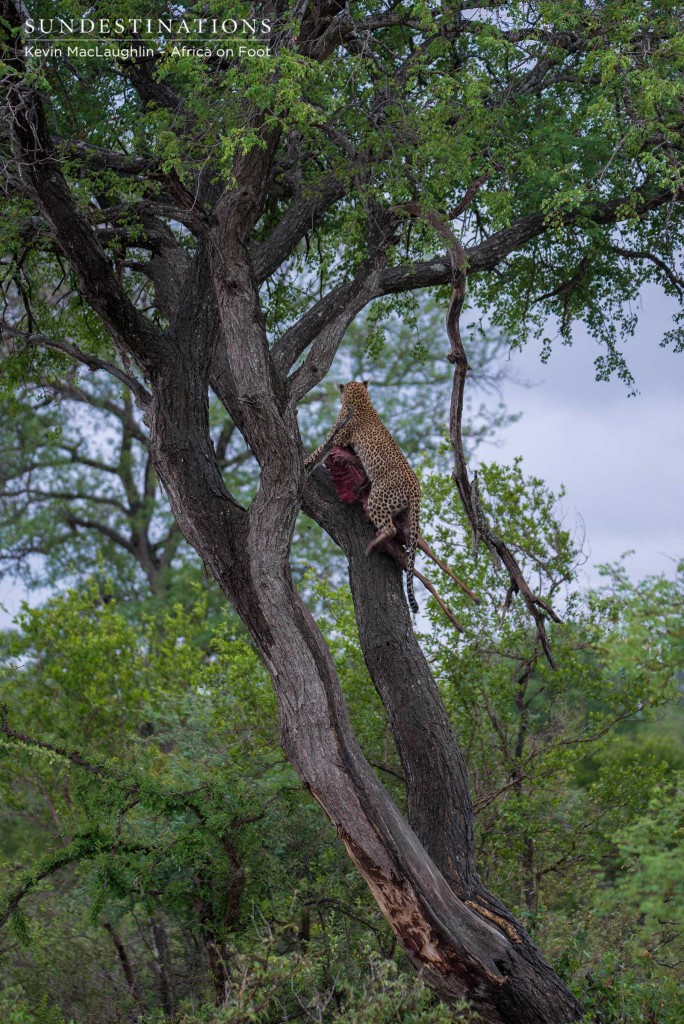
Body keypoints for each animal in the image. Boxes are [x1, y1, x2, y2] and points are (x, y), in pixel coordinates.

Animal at [305, 380, 421, 610]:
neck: (362, 400)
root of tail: (416, 488)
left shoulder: (336, 438)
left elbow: (320, 448)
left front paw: (305, 460)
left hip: (379, 498)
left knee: (390, 529)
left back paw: (372, 546)